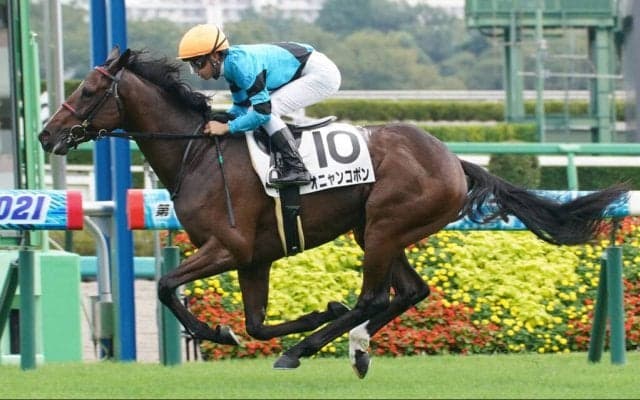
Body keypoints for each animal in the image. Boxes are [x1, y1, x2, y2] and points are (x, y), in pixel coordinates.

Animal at [39, 47, 627, 378]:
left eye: (88, 89)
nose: (46, 134)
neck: (197, 153)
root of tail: (453, 159)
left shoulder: (228, 246)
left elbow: (165, 286)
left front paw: (220, 334)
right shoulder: (254, 257)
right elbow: (254, 324)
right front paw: (294, 319)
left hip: (387, 225)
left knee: (375, 296)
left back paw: (311, 348)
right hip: (376, 231)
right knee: (408, 292)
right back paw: (354, 346)